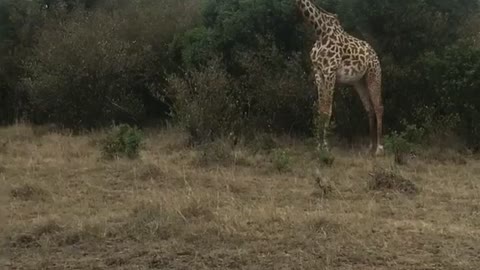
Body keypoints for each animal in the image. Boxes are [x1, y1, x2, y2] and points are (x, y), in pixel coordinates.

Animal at [294, 0, 384, 155]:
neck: (319, 30)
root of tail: (375, 54)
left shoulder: (330, 71)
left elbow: (328, 109)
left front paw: (325, 147)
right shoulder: (319, 72)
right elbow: (321, 109)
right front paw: (318, 146)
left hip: (374, 75)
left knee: (378, 107)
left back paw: (378, 148)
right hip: (359, 82)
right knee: (369, 108)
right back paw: (370, 147)